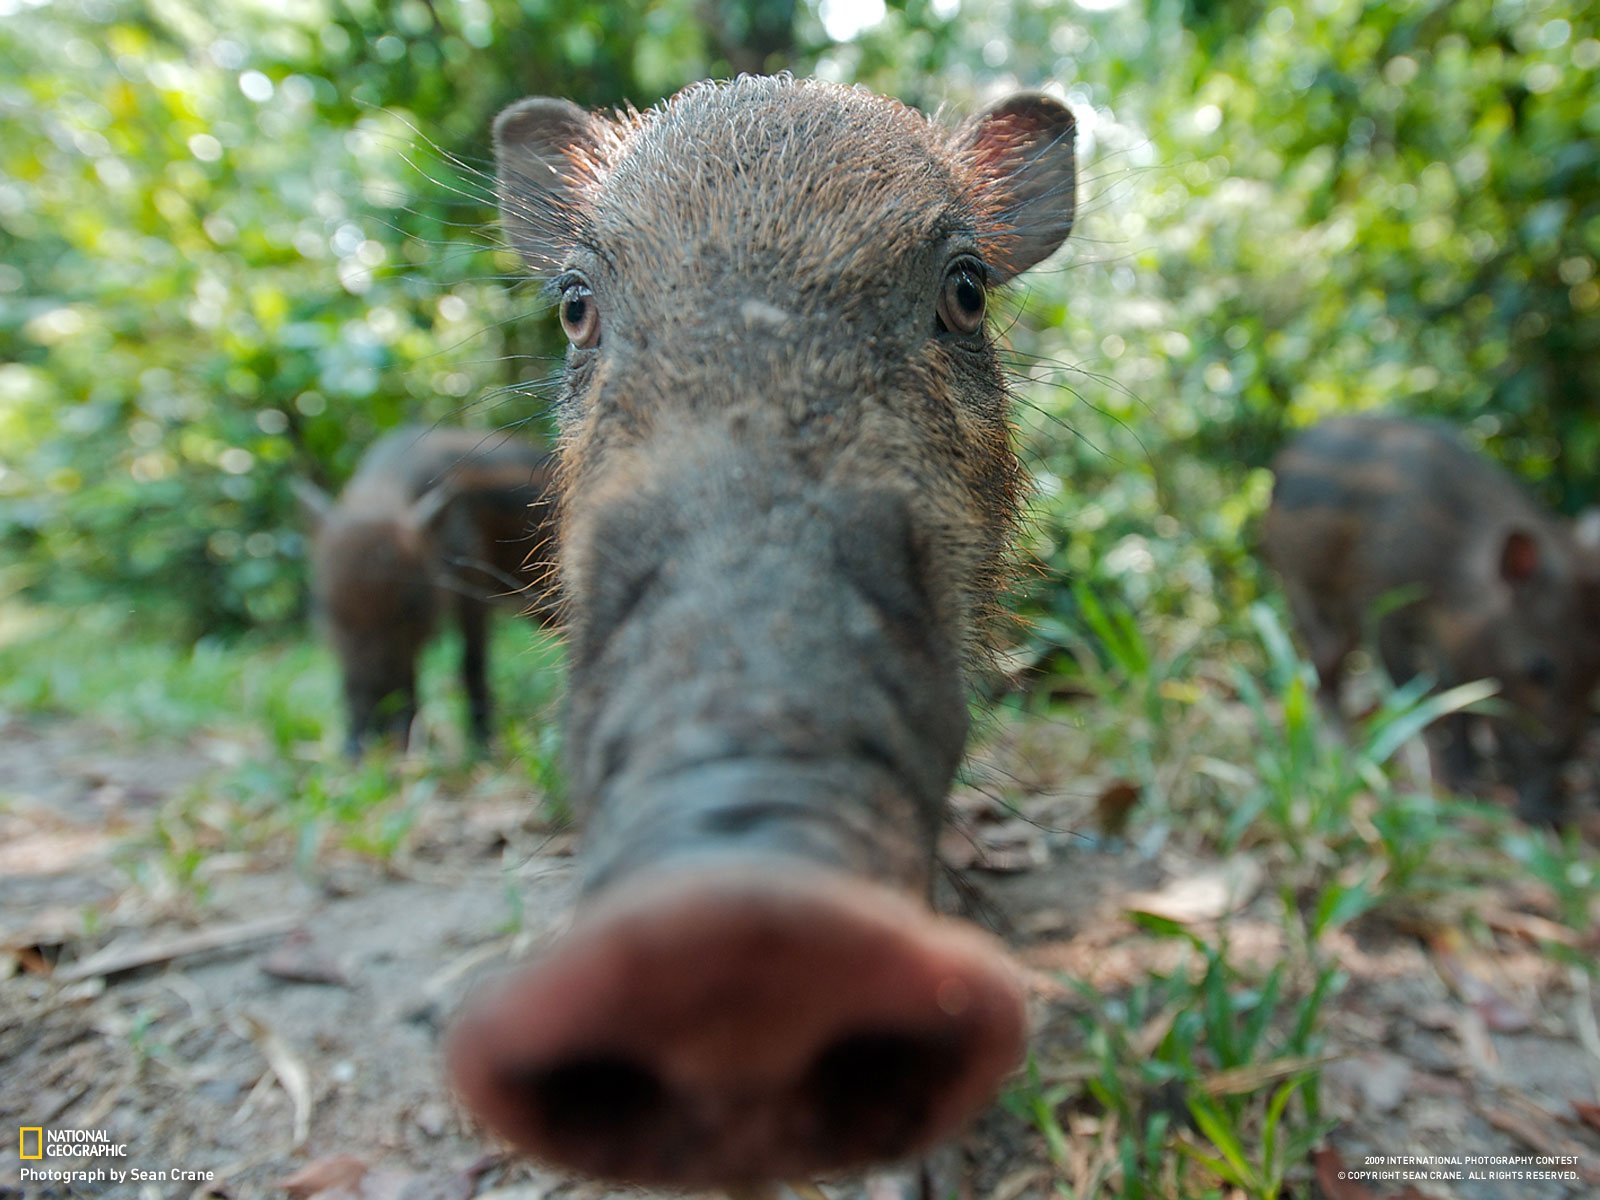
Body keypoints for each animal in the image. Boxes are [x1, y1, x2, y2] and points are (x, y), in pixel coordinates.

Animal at [295, 427, 558, 756]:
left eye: (411, 606)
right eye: (326, 608)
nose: (376, 740)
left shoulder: (472, 585)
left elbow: (471, 662)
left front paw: (481, 746)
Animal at [1263, 414, 1600, 824]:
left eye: (1596, 670)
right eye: (1539, 668)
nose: (1546, 813)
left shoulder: (1454, 639)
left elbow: (1460, 696)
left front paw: (1467, 776)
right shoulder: (1383, 605)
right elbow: (1418, 691)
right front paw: (1445, 782)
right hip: (1299, 587)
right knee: (1323, 669)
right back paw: (1338, 746)